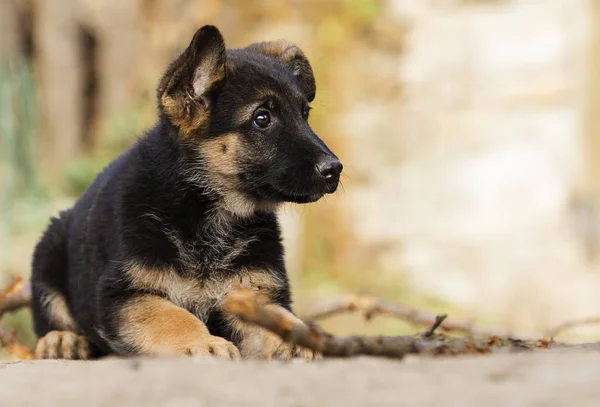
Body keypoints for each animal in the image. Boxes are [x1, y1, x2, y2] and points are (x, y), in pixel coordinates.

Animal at [30, 25, 342, 360]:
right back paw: (61, 339)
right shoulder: (124, 295)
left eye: (304, 114)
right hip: (49, 250)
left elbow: (283, 318)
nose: (334, 169)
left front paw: (306, 338)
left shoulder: (255, 296)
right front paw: (204, 342)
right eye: (262, 118)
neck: (211, 213)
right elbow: (172, 315)